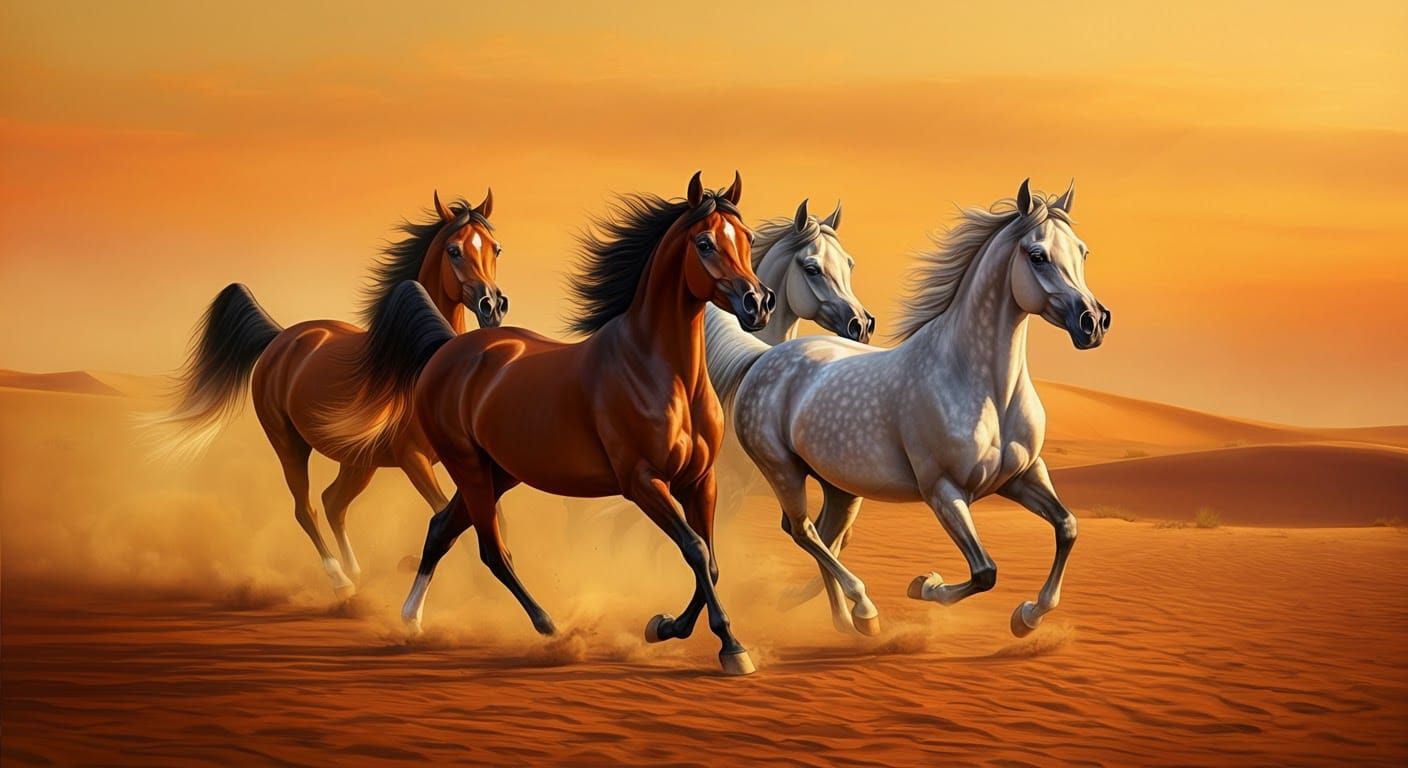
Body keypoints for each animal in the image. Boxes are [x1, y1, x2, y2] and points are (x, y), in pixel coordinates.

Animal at [148, 191, 507, 600]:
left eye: (496, 248)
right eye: (453, 250)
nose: (492, 306)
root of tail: (280, 338)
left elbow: (484, 516)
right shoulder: (413, 459)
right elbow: (450, 515)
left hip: (359, 461)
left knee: (332, 502)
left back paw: (355, 569)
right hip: (289, 444)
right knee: (306, 508)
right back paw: (342, 581)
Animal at [351, 172, 774, 675]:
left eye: (747, 239)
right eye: (705, 242)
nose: (758, 303)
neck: (662, 373)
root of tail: (445, 350)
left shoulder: (700, 480)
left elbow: (709, 560)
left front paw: (665, 627)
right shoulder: (643, 482)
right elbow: (694, 548)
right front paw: (731, 647)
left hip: (500, 472)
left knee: (441, 528)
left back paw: (411, 620)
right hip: (468, 466)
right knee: (491, 549)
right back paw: (550, 628)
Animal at [705, 179, 1110, 639]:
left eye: (1082, 251)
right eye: (1038, 255)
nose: (1094, 322)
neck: (988, 389)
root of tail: (761, 359)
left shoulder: (1023, 475)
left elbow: (1068, 527)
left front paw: (1027, 616)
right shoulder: (944, 491)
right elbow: (985, 571)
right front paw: (925, 585)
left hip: (840, 486)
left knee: (823, 534)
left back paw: (841, 619)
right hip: (781, 470)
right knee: (803, 530)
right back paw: (863, 610)